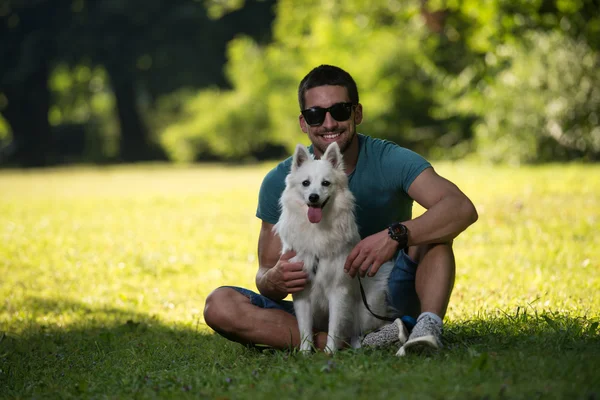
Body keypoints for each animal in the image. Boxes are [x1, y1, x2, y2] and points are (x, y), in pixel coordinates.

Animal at [274, 143, 396, 354]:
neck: (316, 228)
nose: (313, 197)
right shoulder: (301, 291)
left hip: (366, 312)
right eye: (305, 183)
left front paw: (330, 353)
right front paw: (305, 354)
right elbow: (304, 329)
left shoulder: (338, 291)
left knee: (360, 331)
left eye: (326, 183)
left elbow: (335, 327)